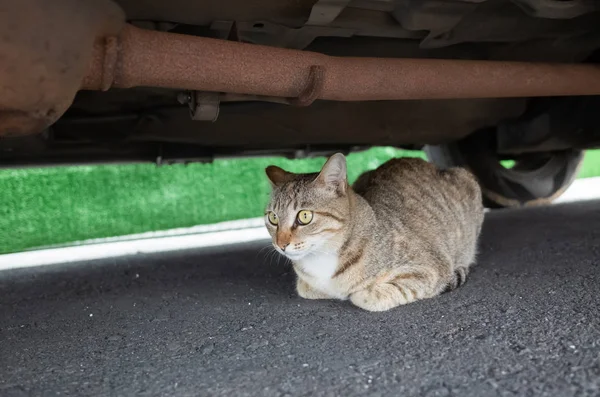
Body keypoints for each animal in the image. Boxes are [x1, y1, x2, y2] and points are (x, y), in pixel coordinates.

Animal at [264, 153, 486, 310]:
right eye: (272, 218)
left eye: (304, 216)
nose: (281, 244)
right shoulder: (308, 284)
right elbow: (305, 288)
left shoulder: (430, 268)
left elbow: (366, 296)